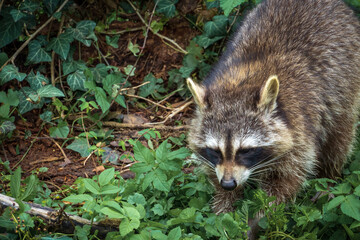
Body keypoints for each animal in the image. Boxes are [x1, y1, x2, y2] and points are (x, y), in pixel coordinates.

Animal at [186, 0, 360, 215]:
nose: (228, 184)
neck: (240, 84)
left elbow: (286, 180)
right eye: (215, 151)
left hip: (347, 85)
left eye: (245, 150)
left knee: (339, 139)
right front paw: (224, 206)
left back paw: (329, 176)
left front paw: (264, 213)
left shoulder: (299, 127)